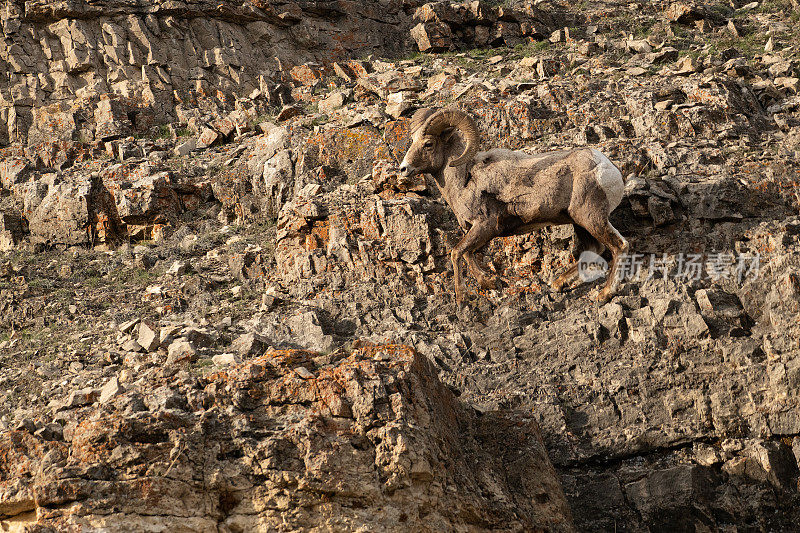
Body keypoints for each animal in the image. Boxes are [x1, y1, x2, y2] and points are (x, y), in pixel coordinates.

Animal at [400, 108, 632, 304]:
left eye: (428, 144)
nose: (403, 169)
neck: (465, 179)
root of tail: (608, 169)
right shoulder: (476, 230)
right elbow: (466, 253)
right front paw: (490, 282)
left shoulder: (486, 226)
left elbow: (457, 252)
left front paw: (462, 297)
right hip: (579, 222)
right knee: (594, 249)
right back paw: (558, 283)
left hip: (591, 218)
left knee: (619, 246)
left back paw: (605, 294)